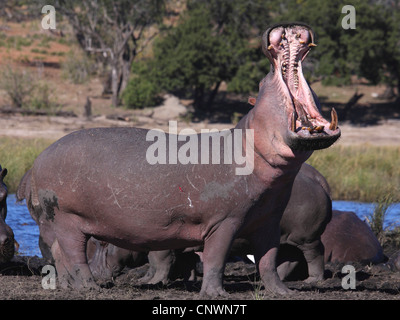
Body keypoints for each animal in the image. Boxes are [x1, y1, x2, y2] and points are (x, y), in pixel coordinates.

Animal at [17, 22, 340, 296]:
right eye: (262, 84)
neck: (253, 146)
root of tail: (37, 160)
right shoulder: (224, 222)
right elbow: (216, 258)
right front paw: (216, 294)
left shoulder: (269, 221)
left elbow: (269, 260)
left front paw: (283, 292)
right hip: (67, 219)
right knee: (73, 254)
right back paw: (89, 288)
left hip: (60, 222)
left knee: (59, 253)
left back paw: (70, 287)